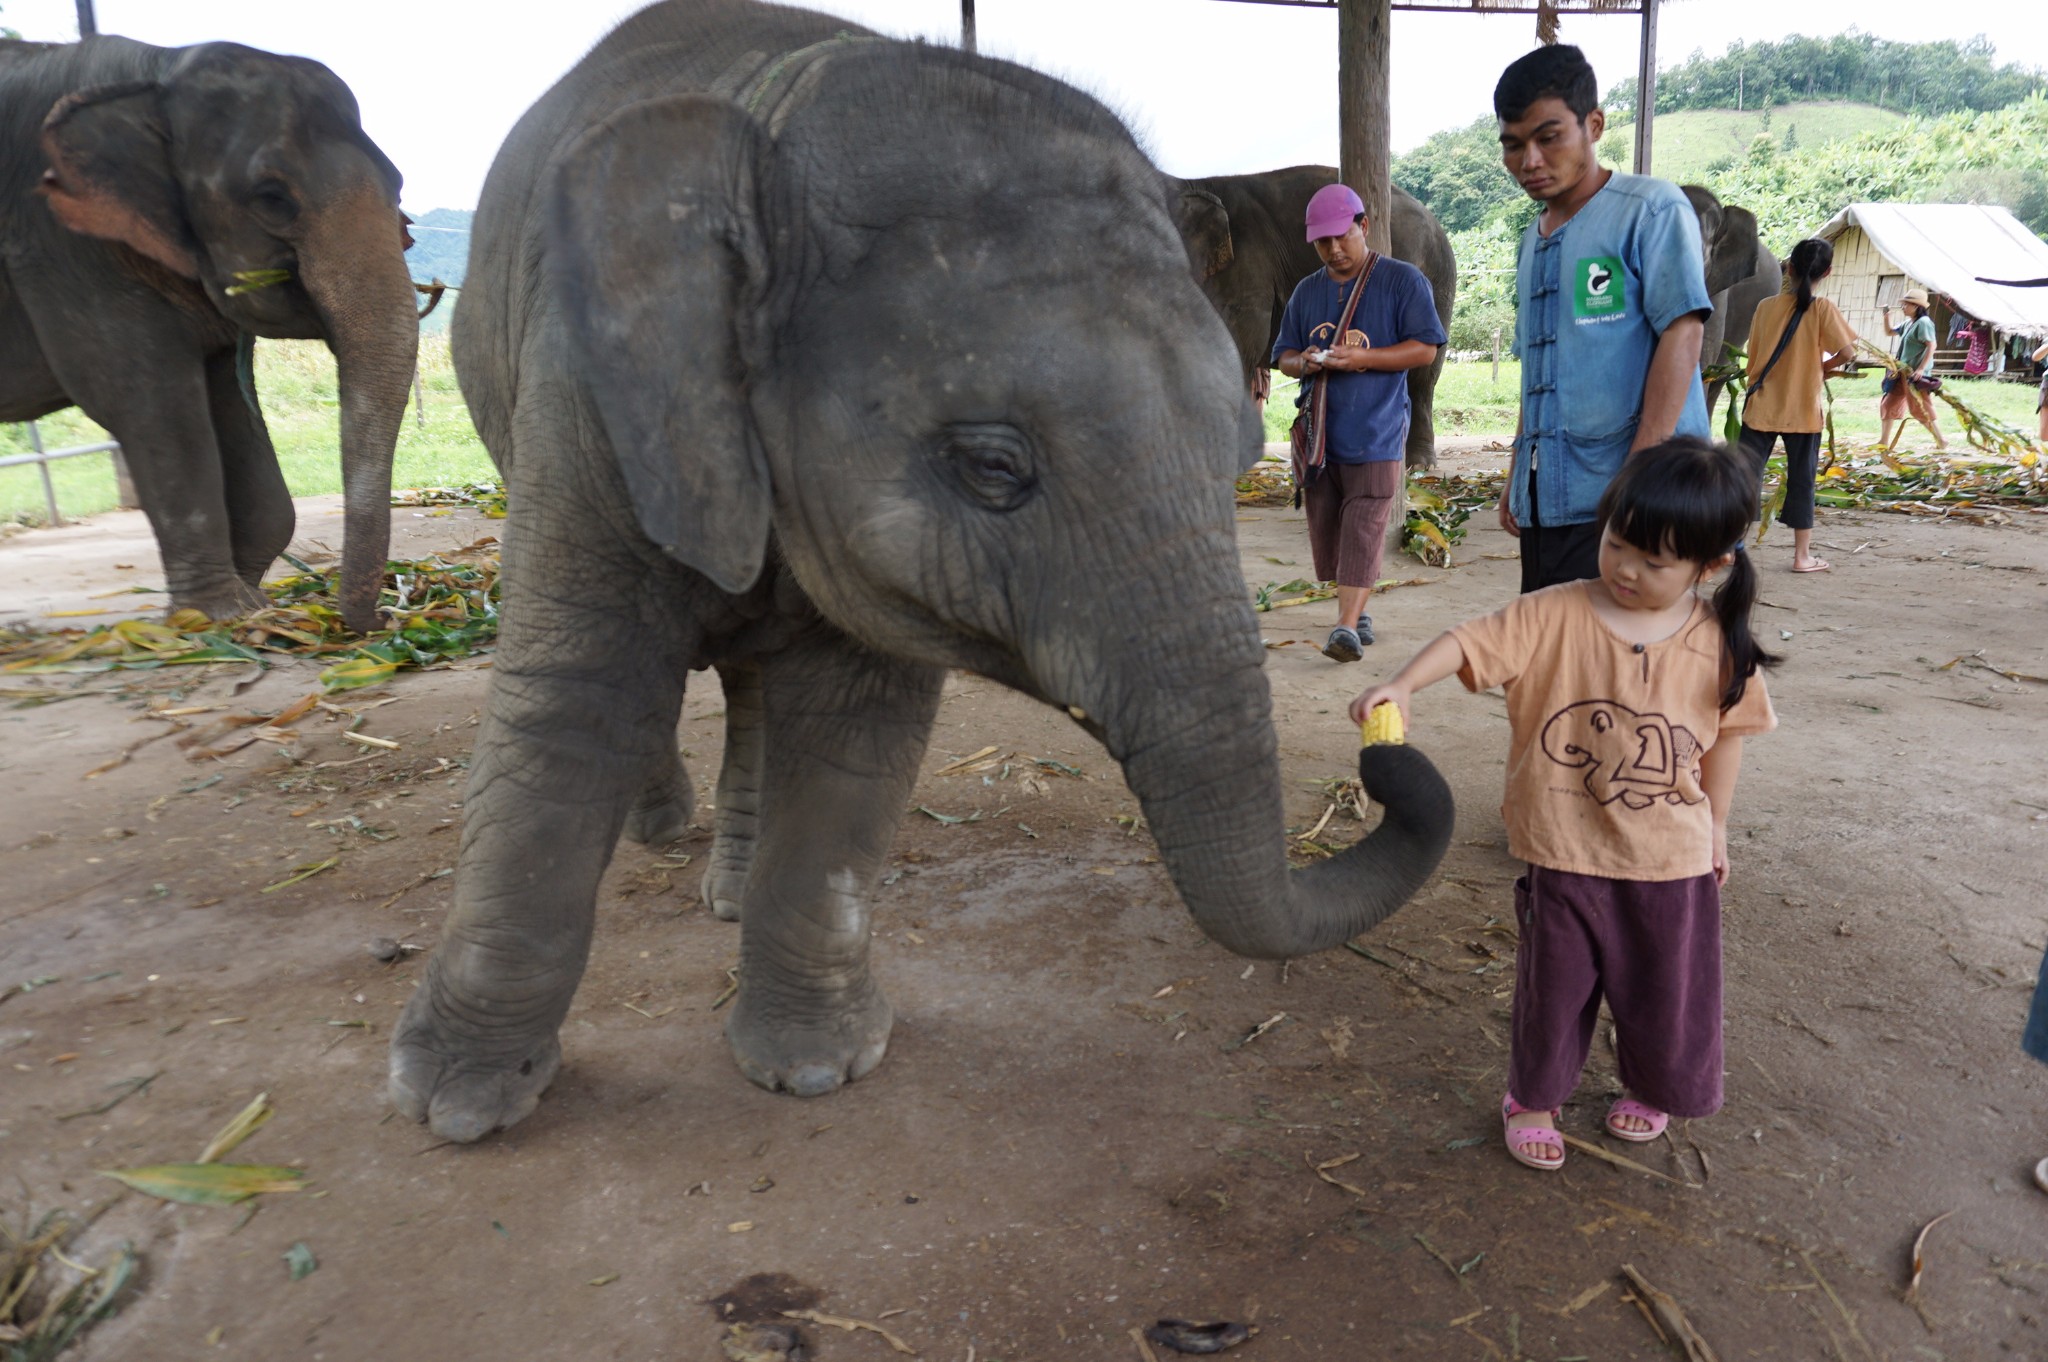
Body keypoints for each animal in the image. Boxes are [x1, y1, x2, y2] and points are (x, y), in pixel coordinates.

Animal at [0, 37, 415, 630]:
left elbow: (228, 401)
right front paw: (216, 617)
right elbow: (145, 402)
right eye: (272, 198)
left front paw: (254, 603)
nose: (387, 615)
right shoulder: (60, 244)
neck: (158, 69)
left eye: (396, 184)